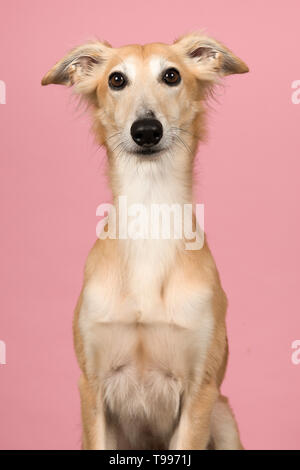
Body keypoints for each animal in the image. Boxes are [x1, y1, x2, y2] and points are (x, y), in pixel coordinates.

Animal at [41, 31, 248, 450]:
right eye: (116, 79)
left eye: (171, 75)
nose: (147, 131)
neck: (151, 213)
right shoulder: (92, 387)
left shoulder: (201, 391)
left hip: (224, 417)